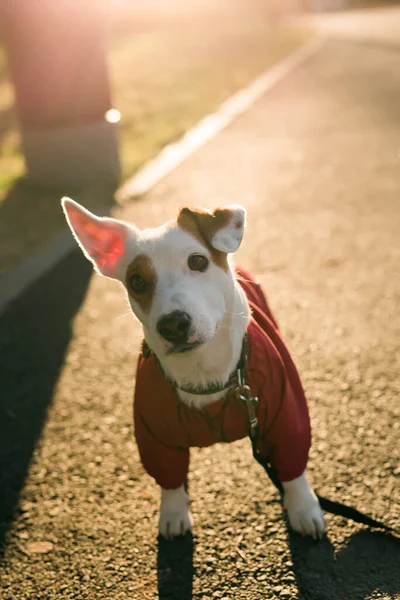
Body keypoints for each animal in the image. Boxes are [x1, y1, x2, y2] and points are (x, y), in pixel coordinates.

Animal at [61, 199, 324, 540]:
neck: (204, 371)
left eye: (198, 261)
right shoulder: (153, 431)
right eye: (137, 282)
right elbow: (169, 478)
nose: (173, 324)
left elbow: (293, 462)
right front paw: (173, 513)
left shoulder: (284, 411)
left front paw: (303, 507)